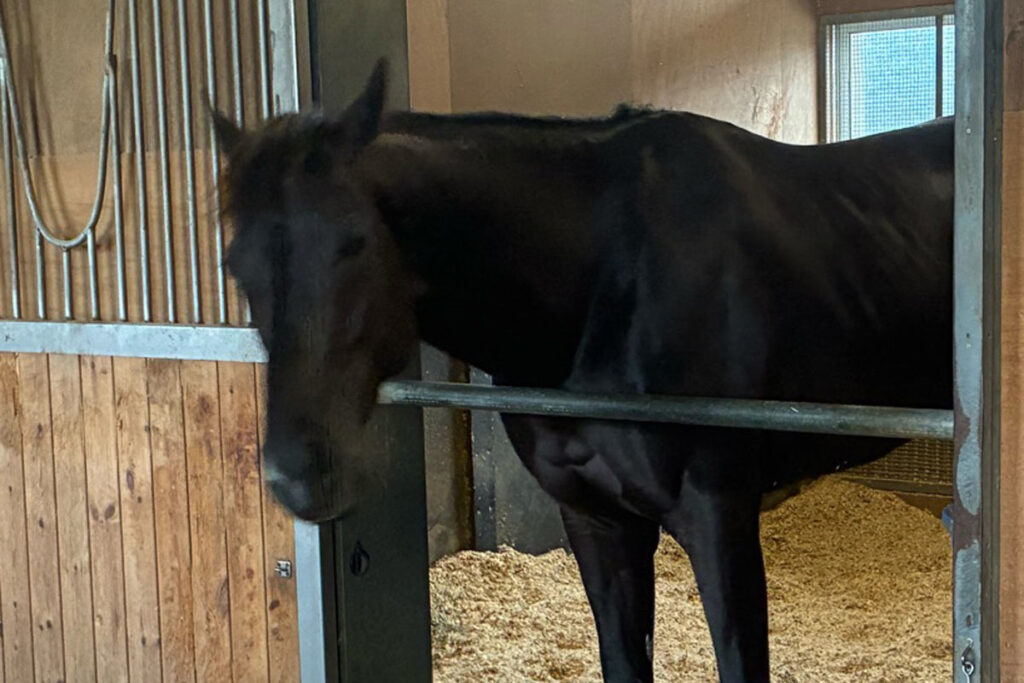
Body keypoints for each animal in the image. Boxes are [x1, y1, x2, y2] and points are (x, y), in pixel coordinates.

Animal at [213, 58, 952, 682]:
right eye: (233, 263)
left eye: (357, 240)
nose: (300, 473)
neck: (610, 279)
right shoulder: (596, 521)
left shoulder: (722, 518)